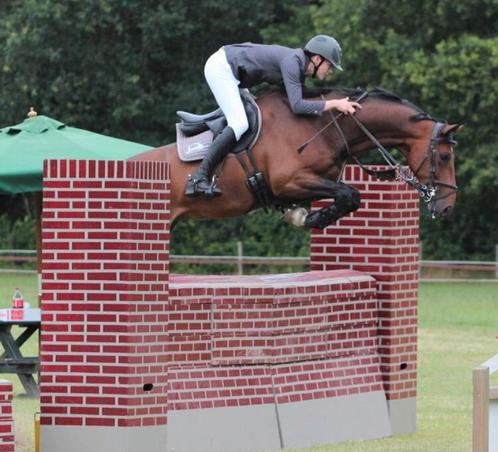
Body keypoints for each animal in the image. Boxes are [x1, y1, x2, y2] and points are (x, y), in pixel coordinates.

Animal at [129, 87, 462, 230]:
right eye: (445, 156)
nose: (447, 208)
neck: (324, 127)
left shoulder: (315, 182)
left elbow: (349, 197)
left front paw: (306, 216)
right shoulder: (289, 182)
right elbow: (350, 194)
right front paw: (310, 219)